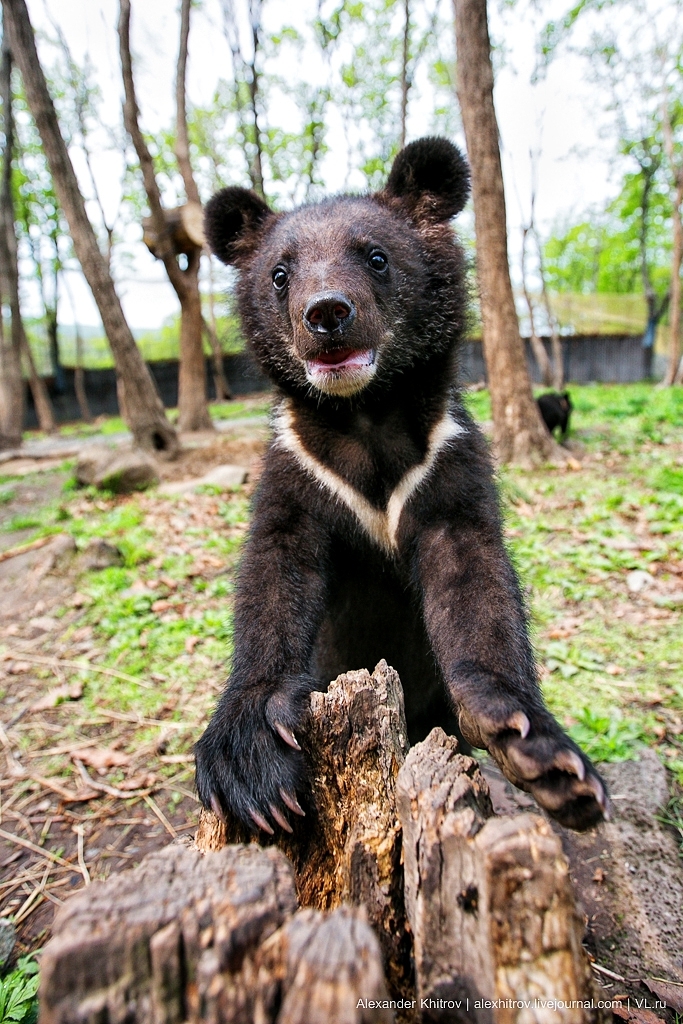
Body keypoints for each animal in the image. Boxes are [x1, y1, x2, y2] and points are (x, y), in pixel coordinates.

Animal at [196, 136, 610, 835]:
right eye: (279, 274)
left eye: (376, 256)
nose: (326, 313)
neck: (363, 416)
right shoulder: (298, 468)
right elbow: (275, 571)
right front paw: (249, 766)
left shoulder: (446, 461)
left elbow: (473, 580)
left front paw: (541, 755)